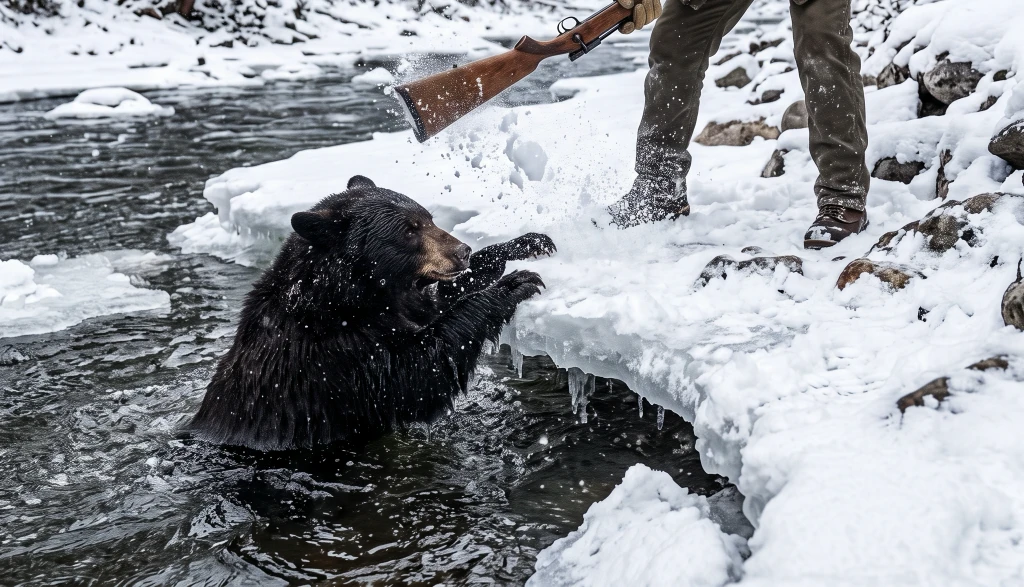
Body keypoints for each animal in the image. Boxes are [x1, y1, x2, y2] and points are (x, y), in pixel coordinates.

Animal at [187, 175, 554, 451]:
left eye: (430, 218)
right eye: (408, 230)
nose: (462, 251)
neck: (348, 298)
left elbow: (436, 301)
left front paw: (525, 243)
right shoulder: (339, 353)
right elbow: (417, 372)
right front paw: (516, 283)